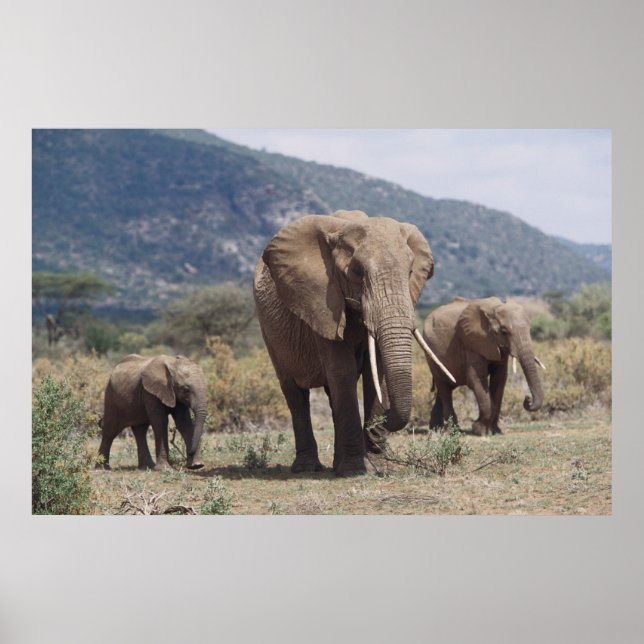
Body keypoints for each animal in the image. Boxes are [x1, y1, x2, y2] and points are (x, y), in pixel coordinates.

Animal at [253, 209, 452, 476]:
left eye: (410, 272)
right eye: (357, 272)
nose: (386, 415)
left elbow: (375, 373)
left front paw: (377, 466)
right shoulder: (322, 302)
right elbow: (343, 371)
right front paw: (355, 469)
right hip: (270, 331)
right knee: (294, 392)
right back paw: (308, 468)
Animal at [422, 297, 545, 436]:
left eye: (530, 330)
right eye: (504, 331)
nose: (527, 398)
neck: (494, 308)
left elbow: (499, 379)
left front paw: (495, 431)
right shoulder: (472, 343)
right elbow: (476, 378)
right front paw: (479, 430)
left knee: (446, 386)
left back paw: (436, 429)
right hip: (430, 352)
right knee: (443, 386)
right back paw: (454, 431)